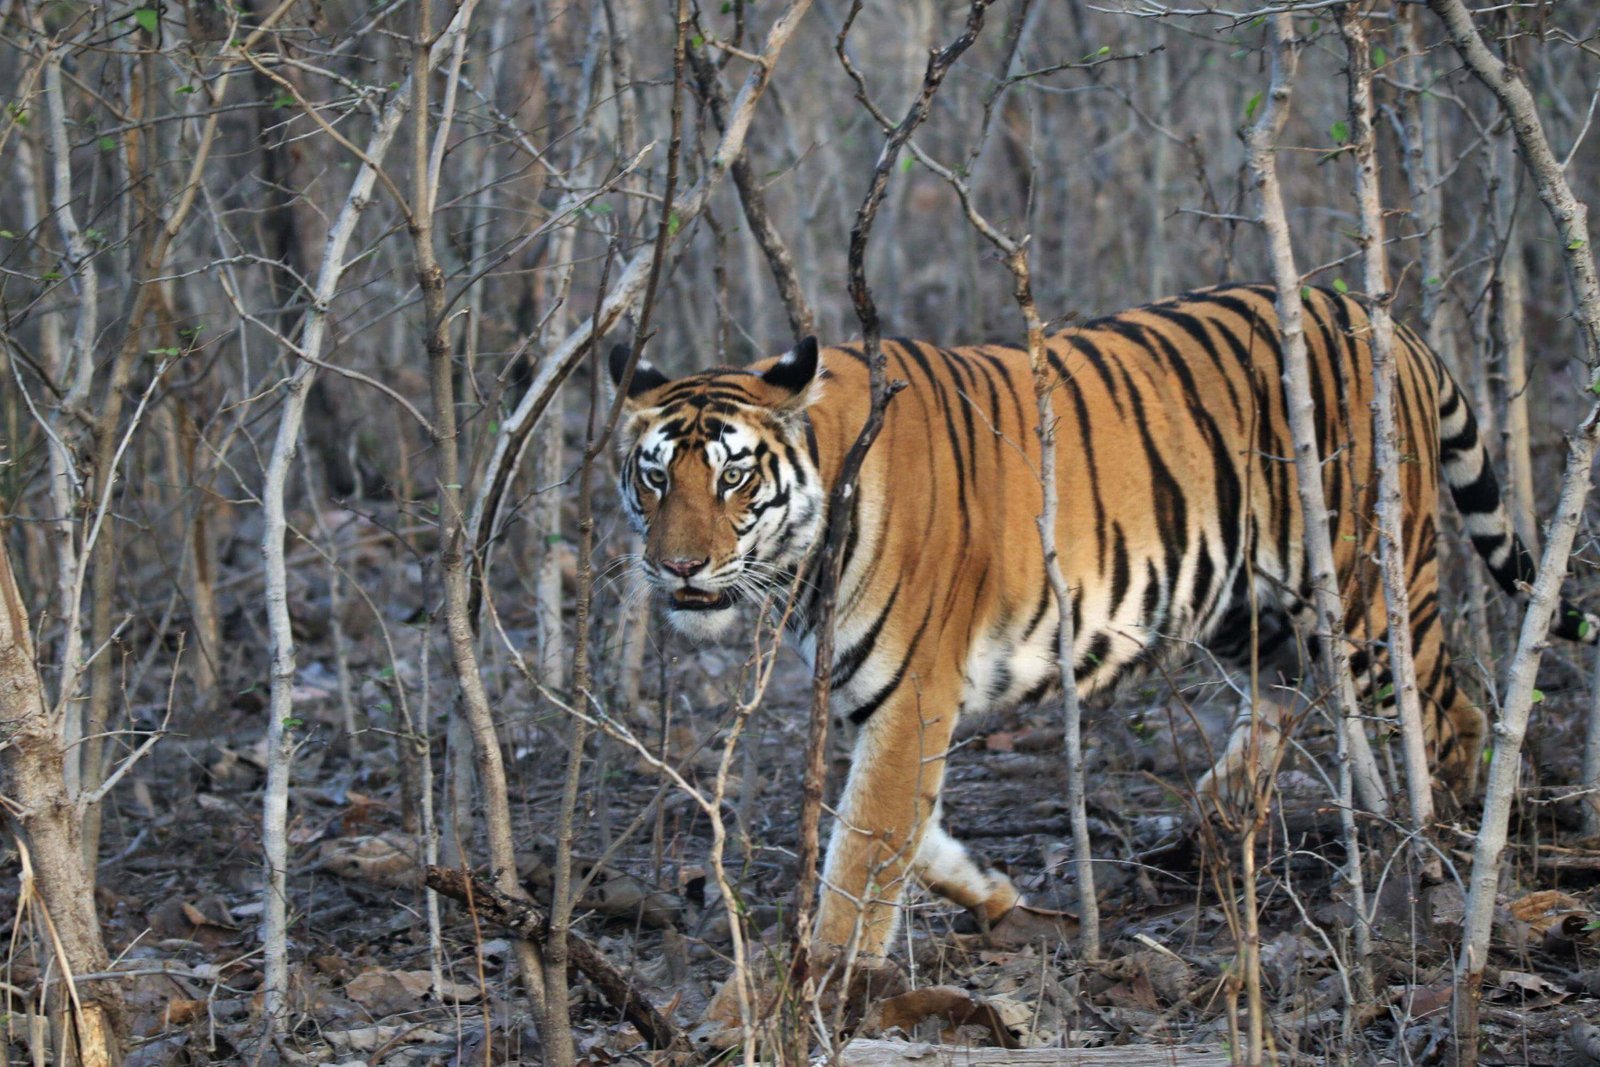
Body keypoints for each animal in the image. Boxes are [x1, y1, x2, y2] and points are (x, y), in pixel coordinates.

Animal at [604, 283, 1593, 959]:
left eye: (733, 477)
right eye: (654, 477)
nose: (676, 566)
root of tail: (1378, 315)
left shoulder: (911, 696)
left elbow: (860, 859)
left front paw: (807, 987)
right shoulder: (881, 704)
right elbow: (907, 838)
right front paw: (991, 892)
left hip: (1366, 600)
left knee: (1454, 712)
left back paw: (1441, 850)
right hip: (1253, 602)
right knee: (1280, 699)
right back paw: (1214, 828)